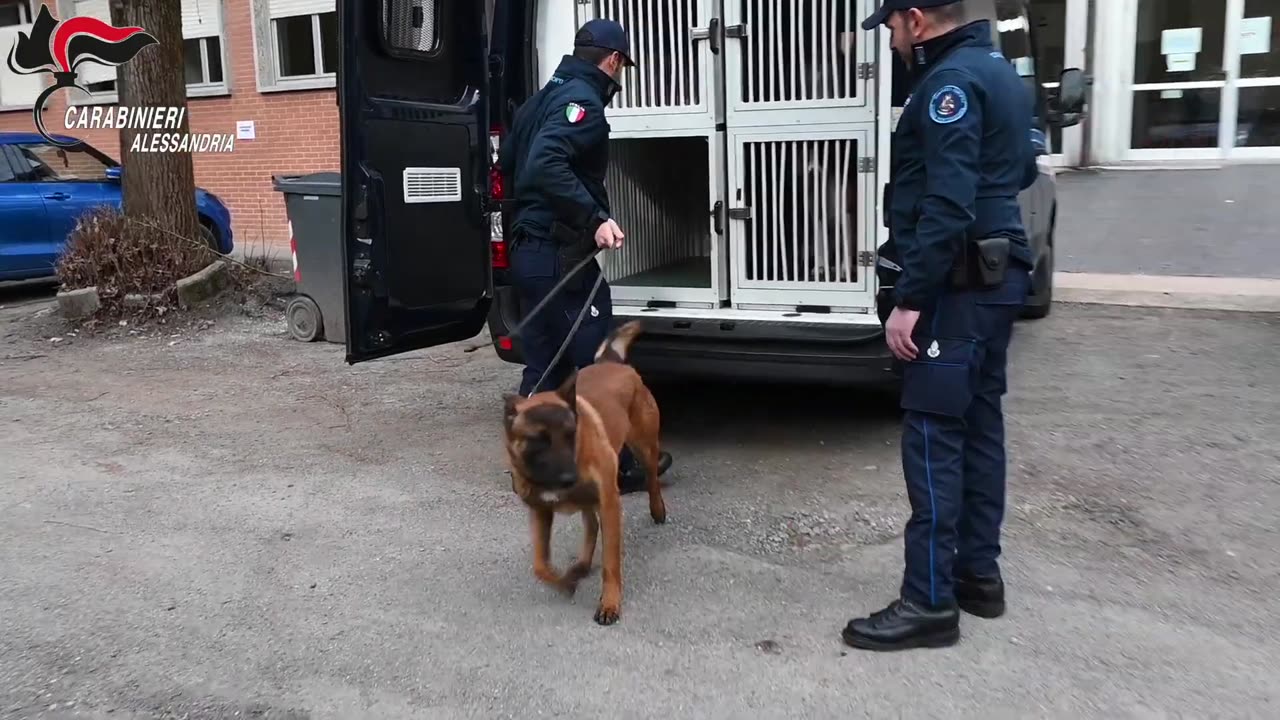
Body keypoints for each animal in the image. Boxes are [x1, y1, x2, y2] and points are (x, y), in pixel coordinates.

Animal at [499, 319, 665, 622]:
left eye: (570, 435)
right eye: (538, 440)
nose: (569, 478)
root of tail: (611, 362)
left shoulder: (610, 503)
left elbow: (611, 562)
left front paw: (609, 603)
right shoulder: (540, 511)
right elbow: (540, 564)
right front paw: (564, 582)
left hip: (644, 446)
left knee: (651, 478)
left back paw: (658, 509)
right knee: (591, 523)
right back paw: (581, 565)